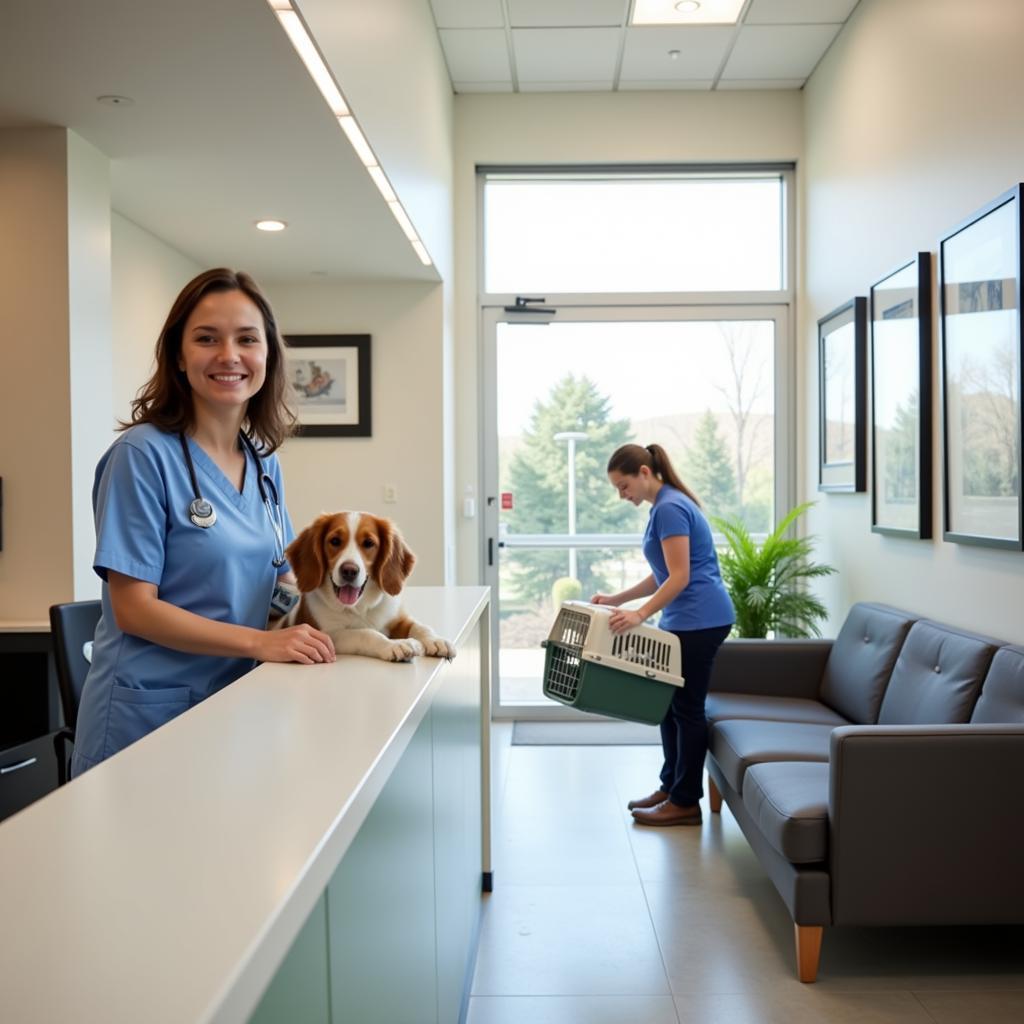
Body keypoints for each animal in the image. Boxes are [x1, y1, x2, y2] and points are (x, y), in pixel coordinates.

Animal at [278, 512, 458, 663]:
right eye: (335, 541)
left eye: (368, 543)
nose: (349, 570)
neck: (360, 607)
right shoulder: (328, 634)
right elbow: (366, 633)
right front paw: (394, 645)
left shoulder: (397, 619)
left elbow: (420, 626)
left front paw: (435, 640)